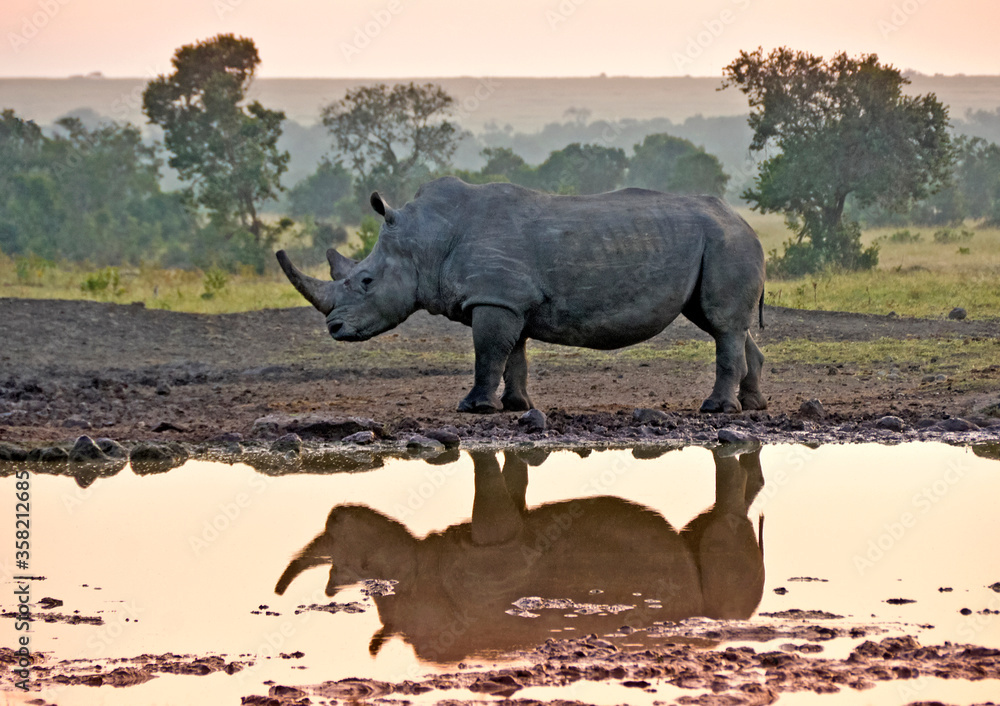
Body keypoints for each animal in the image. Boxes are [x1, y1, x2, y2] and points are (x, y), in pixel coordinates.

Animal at [277, 177, 766, 413]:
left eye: (365, 281)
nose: (334, 327)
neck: (425, 239)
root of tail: (745, 222)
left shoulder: (495, 298)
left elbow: (488, 354)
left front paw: (473, 409)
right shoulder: (507, 300)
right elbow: (513, 355)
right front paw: (516, 406)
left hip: (726, 243)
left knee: (722, 325)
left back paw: (716, 410)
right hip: (719, 243)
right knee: (723, 324)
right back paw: (752, 405)